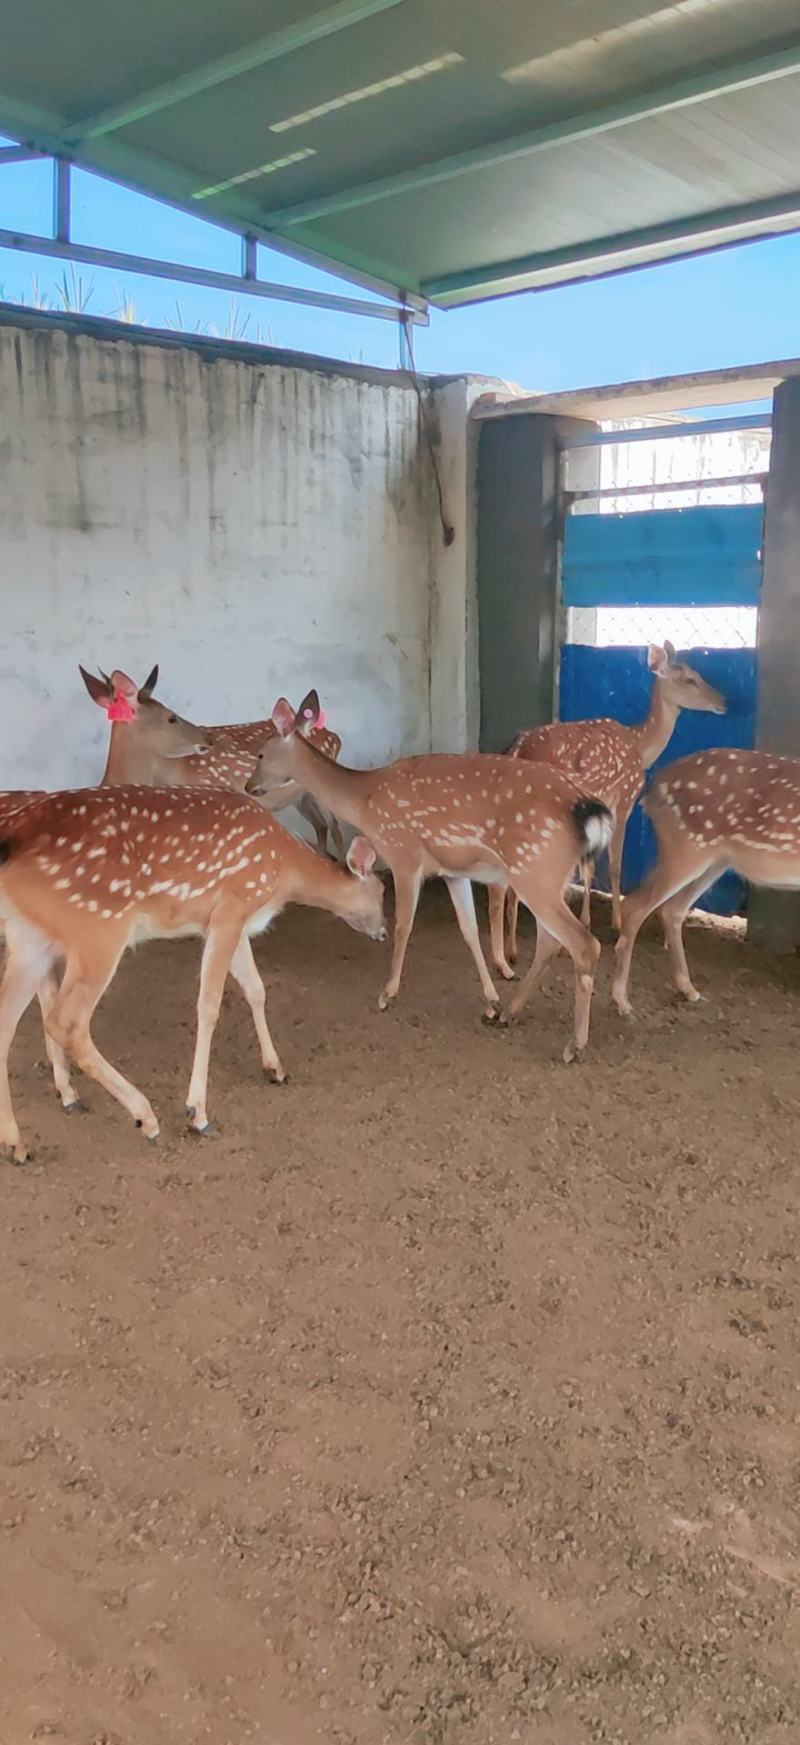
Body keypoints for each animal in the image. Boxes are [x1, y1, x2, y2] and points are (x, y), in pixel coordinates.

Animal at [0, 784, 385, 1163]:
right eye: (381, 892)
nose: (382, 932)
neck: (285, 868)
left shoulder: (232, 923)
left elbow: (256, 988)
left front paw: (274, 1068)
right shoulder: (232, 906)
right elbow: (210, 1005)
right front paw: (197, 1113)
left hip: (29, 937)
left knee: (9, 1022)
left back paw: (19, 1141)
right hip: (98, 929)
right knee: (66, 1021)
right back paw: (145, 1117)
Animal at [80, 663, 347, 858]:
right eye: (171, 717)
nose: (206, 736)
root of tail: (332, 734)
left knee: (336, 830)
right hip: (302, 796)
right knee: (321, 827)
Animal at [246, 690, 614, 1063]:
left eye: (260, 753)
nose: (250, 786)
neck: (365, 801)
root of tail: (590, 812)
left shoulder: (403, 855)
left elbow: (403, 925)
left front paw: (387, 994)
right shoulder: (451, 870)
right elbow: (469, 931)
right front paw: (491, 1002)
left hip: (535, 870)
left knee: (584, 944)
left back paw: (574, 1045)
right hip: (550, 877)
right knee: (550, 942)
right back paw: (510, 1013)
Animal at [487, 642, 726, 977]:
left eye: (699, 673)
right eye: (689, 678)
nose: (724, 702)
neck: (642, 747)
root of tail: (518, 748)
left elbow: (588, 867)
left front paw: (587, 919)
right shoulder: (623, 800)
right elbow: (613, 864)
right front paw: (616, 922)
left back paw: (511, 951)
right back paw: (510, 954)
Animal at [612, 746, 800, 1016]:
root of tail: (653, 789)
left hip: (715, 859)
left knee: (671, 909)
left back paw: (688, 989)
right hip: (688, 847)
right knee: (636, 906)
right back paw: (623, 1001)